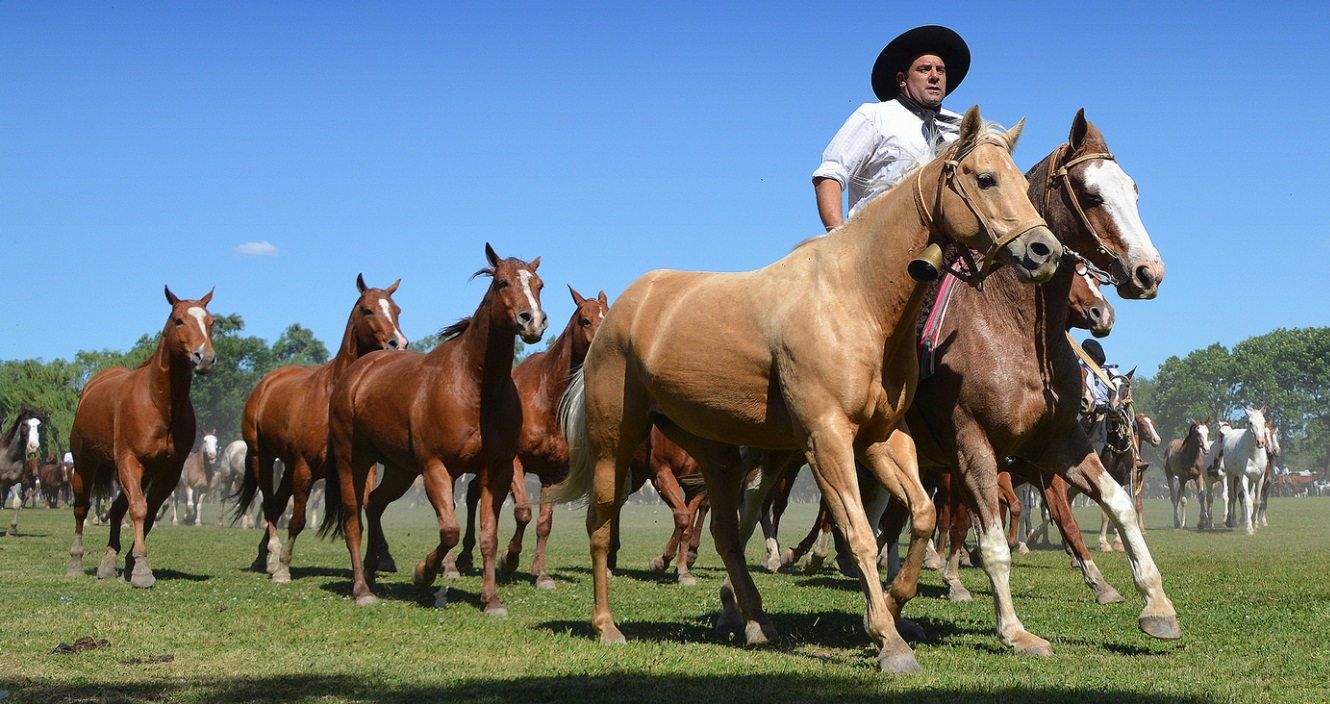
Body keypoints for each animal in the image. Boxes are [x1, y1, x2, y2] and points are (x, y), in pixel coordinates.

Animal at [67, 286, 216, 587]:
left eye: (211, 322)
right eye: (179, 320)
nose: (204, 357)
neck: (159, 403)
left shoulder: (168, 471)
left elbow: (149, 512)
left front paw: (133, 563)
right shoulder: (129, 461)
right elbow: (138, 509)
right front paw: (142, 570)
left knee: (115, 510)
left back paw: (109, 562)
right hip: (85, 464)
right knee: (81, 508)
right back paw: (76, 561)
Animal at [237, 274, 407, 582]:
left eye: (396, 309)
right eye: (367, 310)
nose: (398, 343)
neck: (334, 393)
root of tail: (266, 383)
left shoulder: (363, 467)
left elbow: (368, 506)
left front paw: (376, 561)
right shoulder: (305, 467)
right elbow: (297, 520)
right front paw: (283, 568)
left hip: (288, 466)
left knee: (278, 502)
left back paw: (262, 557)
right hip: (262, 458)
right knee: (270, 505)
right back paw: (272, 555)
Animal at [320, 244, 546, 615]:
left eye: (539, 284)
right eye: (501, 282)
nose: (533, 321)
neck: (476, 387)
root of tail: (357, 373)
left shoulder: (495, 471)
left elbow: (488, 536)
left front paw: (491, 600)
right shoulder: (436, 469)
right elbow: (450, 530)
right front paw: (423, 572)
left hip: (399, 470)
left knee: (375, 504)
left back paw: (372, 570)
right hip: (352, 461)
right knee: (353, 520)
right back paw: (361, 589)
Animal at [554, 107, 1065, 674]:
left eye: (1021, 180)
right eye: (986, 178)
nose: (1045, 251)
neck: (857, 299)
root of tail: (620, 311)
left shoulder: (880, 439)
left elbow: (922, 515)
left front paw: (891, 606)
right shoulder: (827, 440)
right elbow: (859, 534)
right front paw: (889, 641)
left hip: (714, 452)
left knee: (727, 534)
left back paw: (756, 622)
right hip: (613, 445)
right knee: (601, 526)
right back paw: (607, 626)